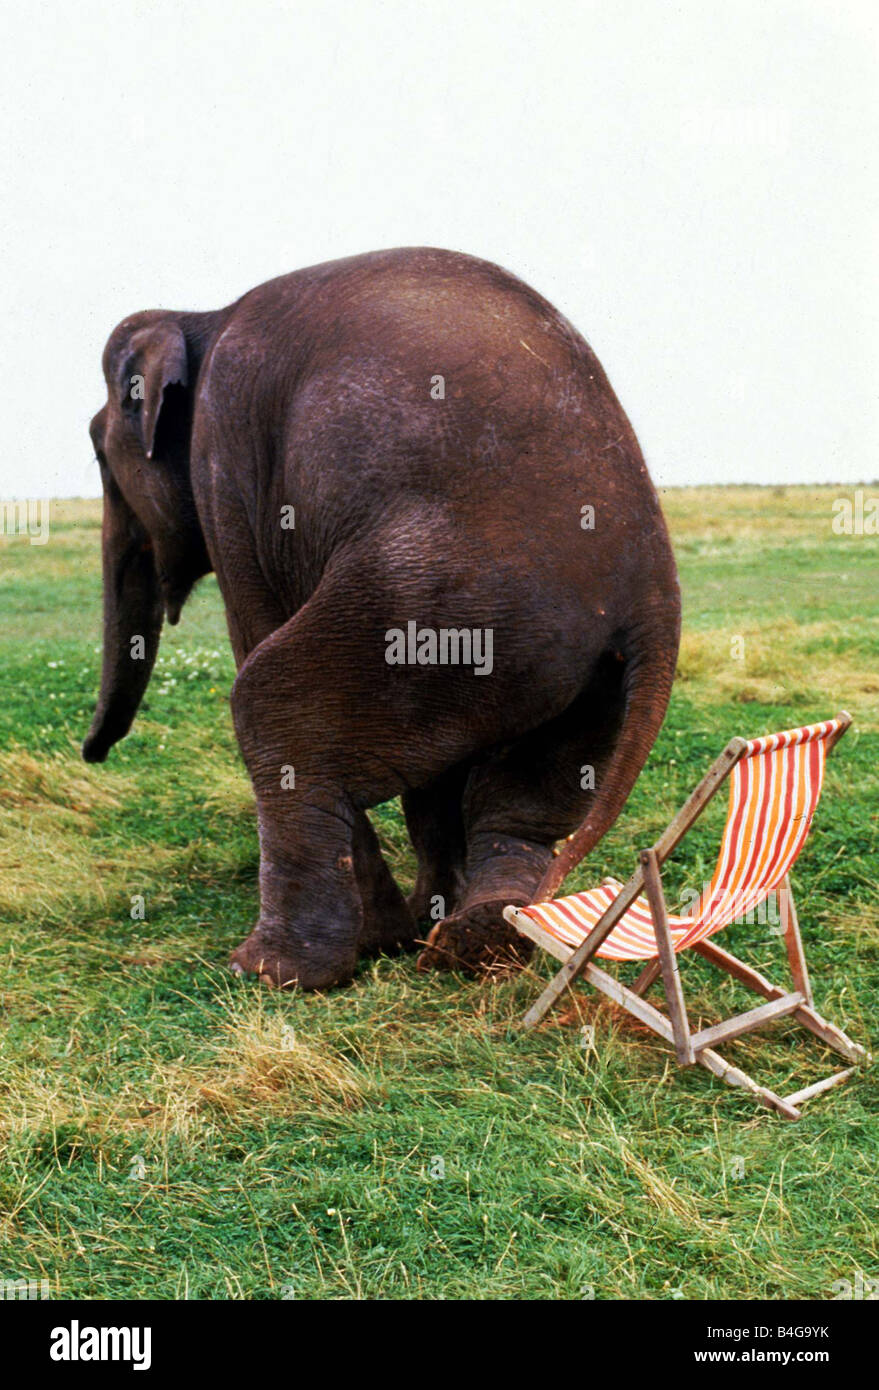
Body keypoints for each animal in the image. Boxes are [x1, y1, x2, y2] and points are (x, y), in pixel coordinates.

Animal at [85, 247, 678, 989]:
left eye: (98, 451)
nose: (93, 753)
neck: (201, 314)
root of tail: (651, 599)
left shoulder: (225, 453)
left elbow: (254, 627)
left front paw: (382, 938)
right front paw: (411, 926)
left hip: (437, 607)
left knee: (271, 707)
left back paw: (272, 971)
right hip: (576, 665)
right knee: (525, 796)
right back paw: (477, 938)